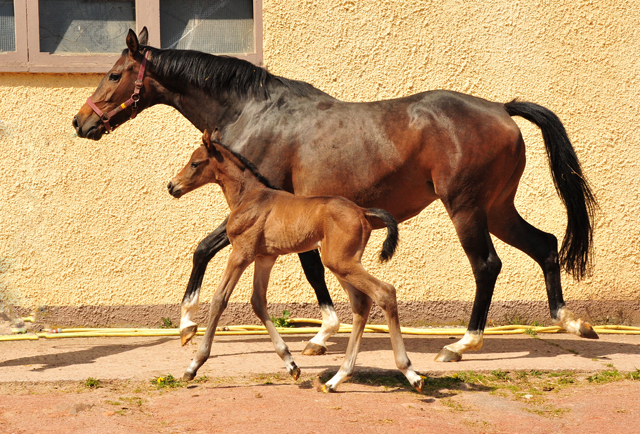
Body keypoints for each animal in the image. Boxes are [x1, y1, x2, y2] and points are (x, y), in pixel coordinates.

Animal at [168, 131, 422, 392]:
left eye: (195, 163)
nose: (172, 186)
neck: (250, 197)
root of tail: (362, 211)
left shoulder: (241, 253)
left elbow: (219, 299)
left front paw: (193, 365)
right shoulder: (265, 257)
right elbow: (258, 301)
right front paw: (291, 364)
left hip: (342, 263)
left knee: (385, 292)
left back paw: (410, 373)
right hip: (342, 264)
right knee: (361, 303)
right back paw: (336, 379)